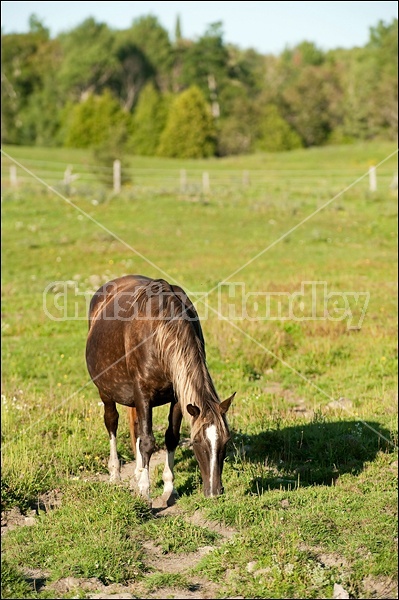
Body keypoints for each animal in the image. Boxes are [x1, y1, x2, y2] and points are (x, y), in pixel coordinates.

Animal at [85, 274, 234, 500]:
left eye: (225, 442)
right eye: (197, 442)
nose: (214, 492)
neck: (159, 333)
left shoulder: (178, 398)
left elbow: (170, 438)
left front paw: (168, 487)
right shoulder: (143, 394)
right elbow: (147, 441)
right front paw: (145, 490)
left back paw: (138, 471)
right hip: (106, 392)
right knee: (112, 422)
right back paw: (115, 474)